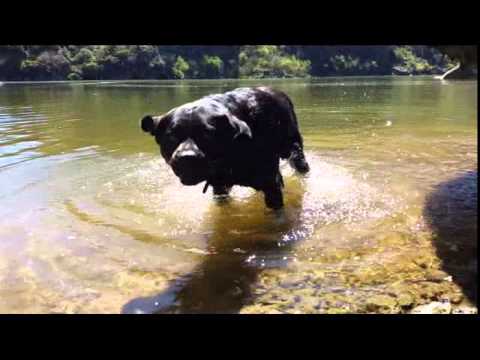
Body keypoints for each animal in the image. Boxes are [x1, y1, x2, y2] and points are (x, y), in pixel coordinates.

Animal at [141, 86, 310, 210]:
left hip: (295, 151)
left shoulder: (271, 183)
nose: (186, 157)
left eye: (206, 134)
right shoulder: (219, 188)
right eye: (172, 136)